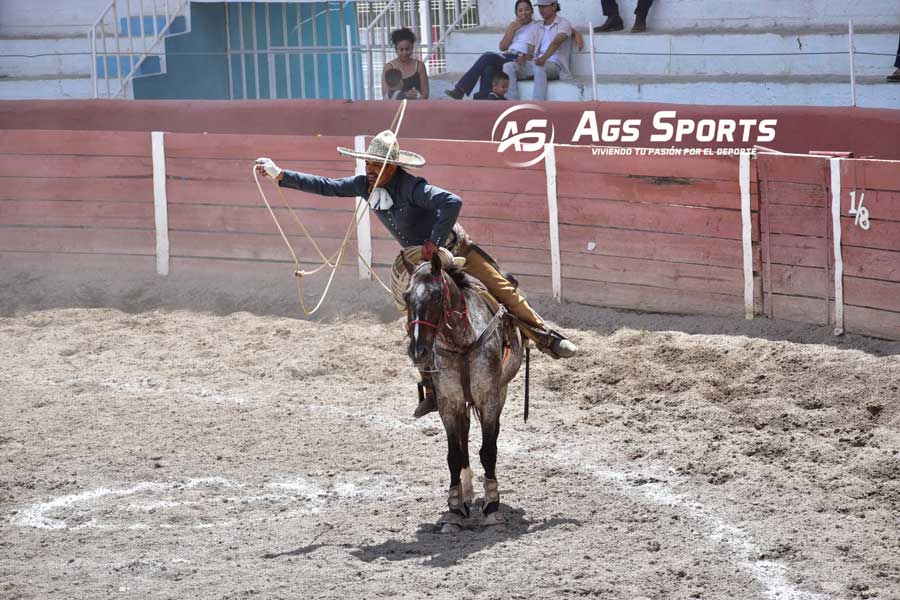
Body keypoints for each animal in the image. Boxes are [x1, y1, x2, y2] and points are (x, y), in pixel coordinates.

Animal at [402, 252, 524, 528]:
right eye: (406, 296)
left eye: (436, 296)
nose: (418, 351)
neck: (462, 345)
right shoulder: (449, 403)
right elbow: (454, 455)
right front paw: (456, 507)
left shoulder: (488, 399)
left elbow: (488, 451)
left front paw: (492, 506)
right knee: (464, 435)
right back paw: (467, 490)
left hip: (499, 394)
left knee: (490, 434)